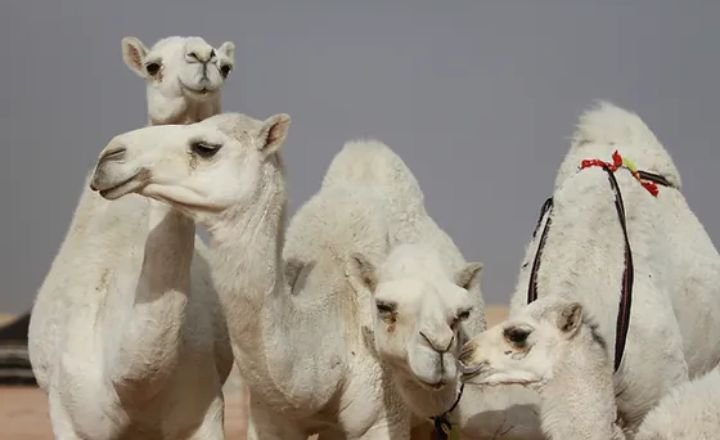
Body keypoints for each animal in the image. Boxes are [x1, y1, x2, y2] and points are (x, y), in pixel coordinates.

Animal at [28, 35, 236, 440]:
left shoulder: (204, 412)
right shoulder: (69, 417)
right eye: (153, 66)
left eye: (225, 66)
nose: (202, 57)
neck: (126, 386)